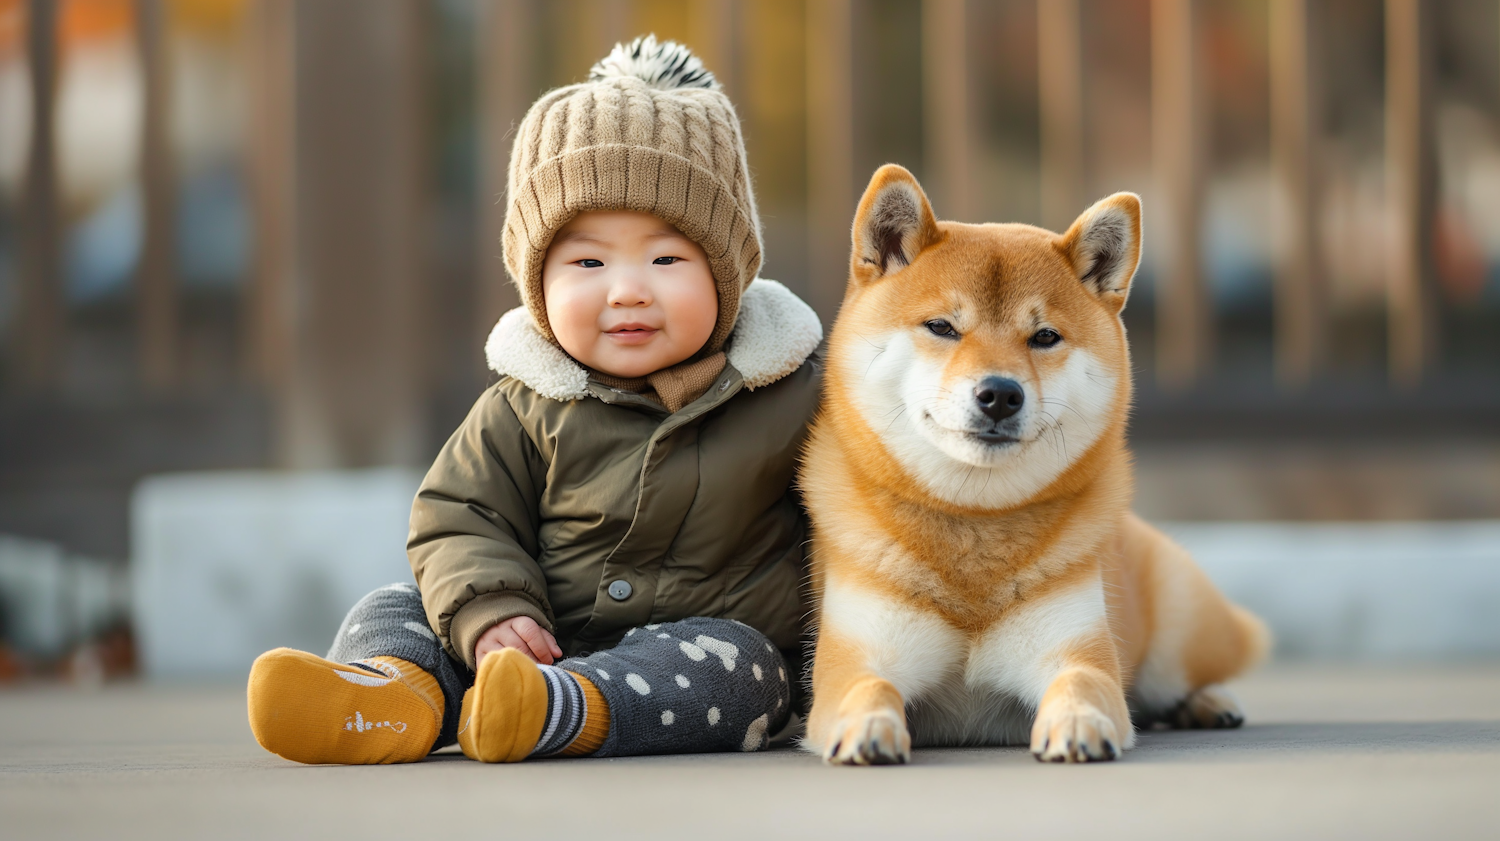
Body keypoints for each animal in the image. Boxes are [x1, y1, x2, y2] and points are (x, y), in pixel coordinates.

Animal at [798, 162, 1266, 761]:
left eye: (1044, 336)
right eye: (942, 327)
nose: (1000, 394)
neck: (975, 527)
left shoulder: (1076, 650)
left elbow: (1083, 682)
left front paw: (1079, 721)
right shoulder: (856, 658)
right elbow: (868, 688)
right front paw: (870, 726)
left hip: (1175, 636)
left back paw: (1209, 702)